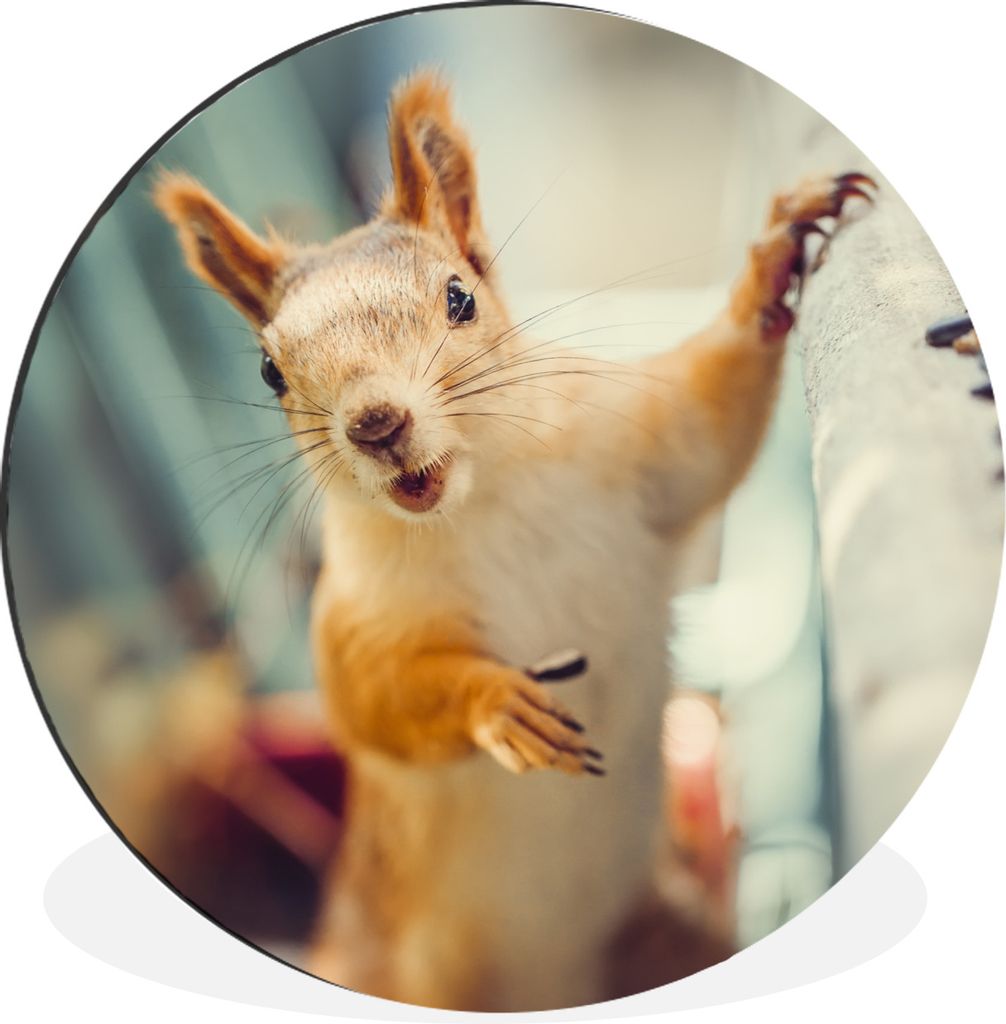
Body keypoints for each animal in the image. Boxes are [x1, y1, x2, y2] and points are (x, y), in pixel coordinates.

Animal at [154, 71, 875, 1012]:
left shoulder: (643, 448)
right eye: (270, 370)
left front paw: (778, 254)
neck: (481, 500)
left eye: (460, 297)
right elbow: (378, 699)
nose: (377, 425)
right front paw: (496, 701)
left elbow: (710, 418)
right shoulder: (357, 623)